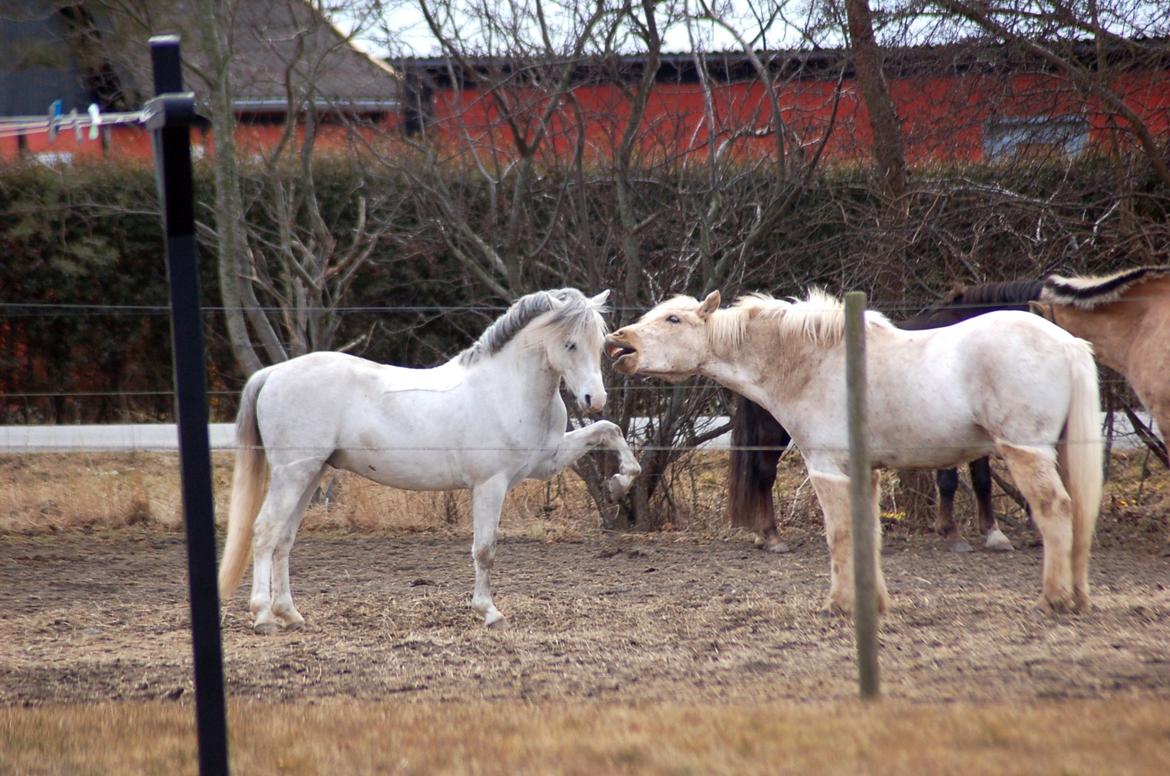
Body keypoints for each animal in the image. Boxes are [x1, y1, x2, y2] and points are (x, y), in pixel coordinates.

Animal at [219, 286, 641, 632]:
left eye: (599, 342)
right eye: (570, 344)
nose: (594, 398)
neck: (505, 389)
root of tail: (273, 374)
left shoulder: (546, 462)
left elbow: (609, 430)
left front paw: (620, 483)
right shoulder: (490, 484)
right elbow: (485, 549)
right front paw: (490, 612)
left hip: (309, 475)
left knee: (284, 539)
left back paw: (290, 615)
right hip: (292, 475)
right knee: (265, 533)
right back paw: (263, 617)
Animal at [608, 287, 1099, 617]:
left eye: (673, 320)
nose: (618, 341)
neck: (814, 364)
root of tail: (1067, 343)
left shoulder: (829, 469)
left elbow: (841, 535)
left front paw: (841, 605)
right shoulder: (868, 472)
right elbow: (867, 536)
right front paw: (871, 603)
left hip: (1026, 451)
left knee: (1055, 510)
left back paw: (1054, 599)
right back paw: (1076, 596)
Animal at [730, 265, 1170, 552]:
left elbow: (972, 480)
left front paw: (974, 531)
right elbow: (963, 480)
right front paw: (972, 534)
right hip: (775, 432)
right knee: (764, 474)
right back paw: (771, 536)